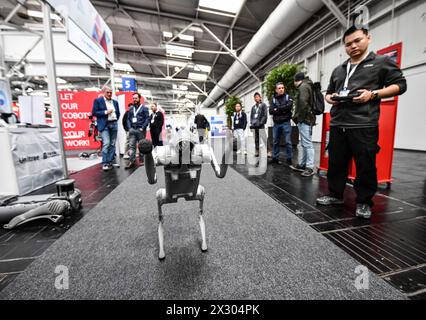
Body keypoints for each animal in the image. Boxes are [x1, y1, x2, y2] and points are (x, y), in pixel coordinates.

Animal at [139, 128, 230, 260]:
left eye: (192, 129)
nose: (185, 142)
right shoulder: (162, 155)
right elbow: (152, 180)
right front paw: (145, 146)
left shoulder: (206, 152)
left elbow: (219, 174)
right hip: (166, 196)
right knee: (159, 201)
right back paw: (162, 249)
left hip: (195, 194)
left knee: (201, 202)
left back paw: (203, 242)